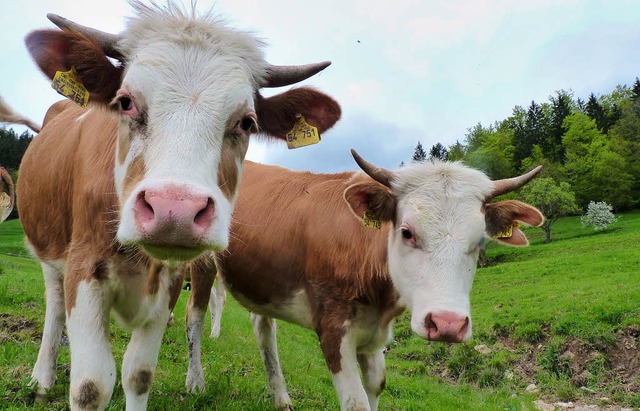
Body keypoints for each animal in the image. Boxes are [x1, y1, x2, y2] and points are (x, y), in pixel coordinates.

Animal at [17, 1, 340, 410]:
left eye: (247, 122)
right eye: (125, 102)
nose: (176, 212)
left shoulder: (170, 280)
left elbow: (138, 374)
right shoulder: (85, 267)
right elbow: (90, 386)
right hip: (50, 250)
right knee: (55, 305)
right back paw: (43, 375)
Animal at [185, 152, 544, 411]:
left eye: (481, 241)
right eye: (407, 232)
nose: (447, 324)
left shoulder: (374, 336)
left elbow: (376, 385)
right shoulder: (333, 328)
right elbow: (355, 401)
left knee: (263, 329)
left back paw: (281, 398)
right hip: (200, 262)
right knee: (194, 315)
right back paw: (195, 383)